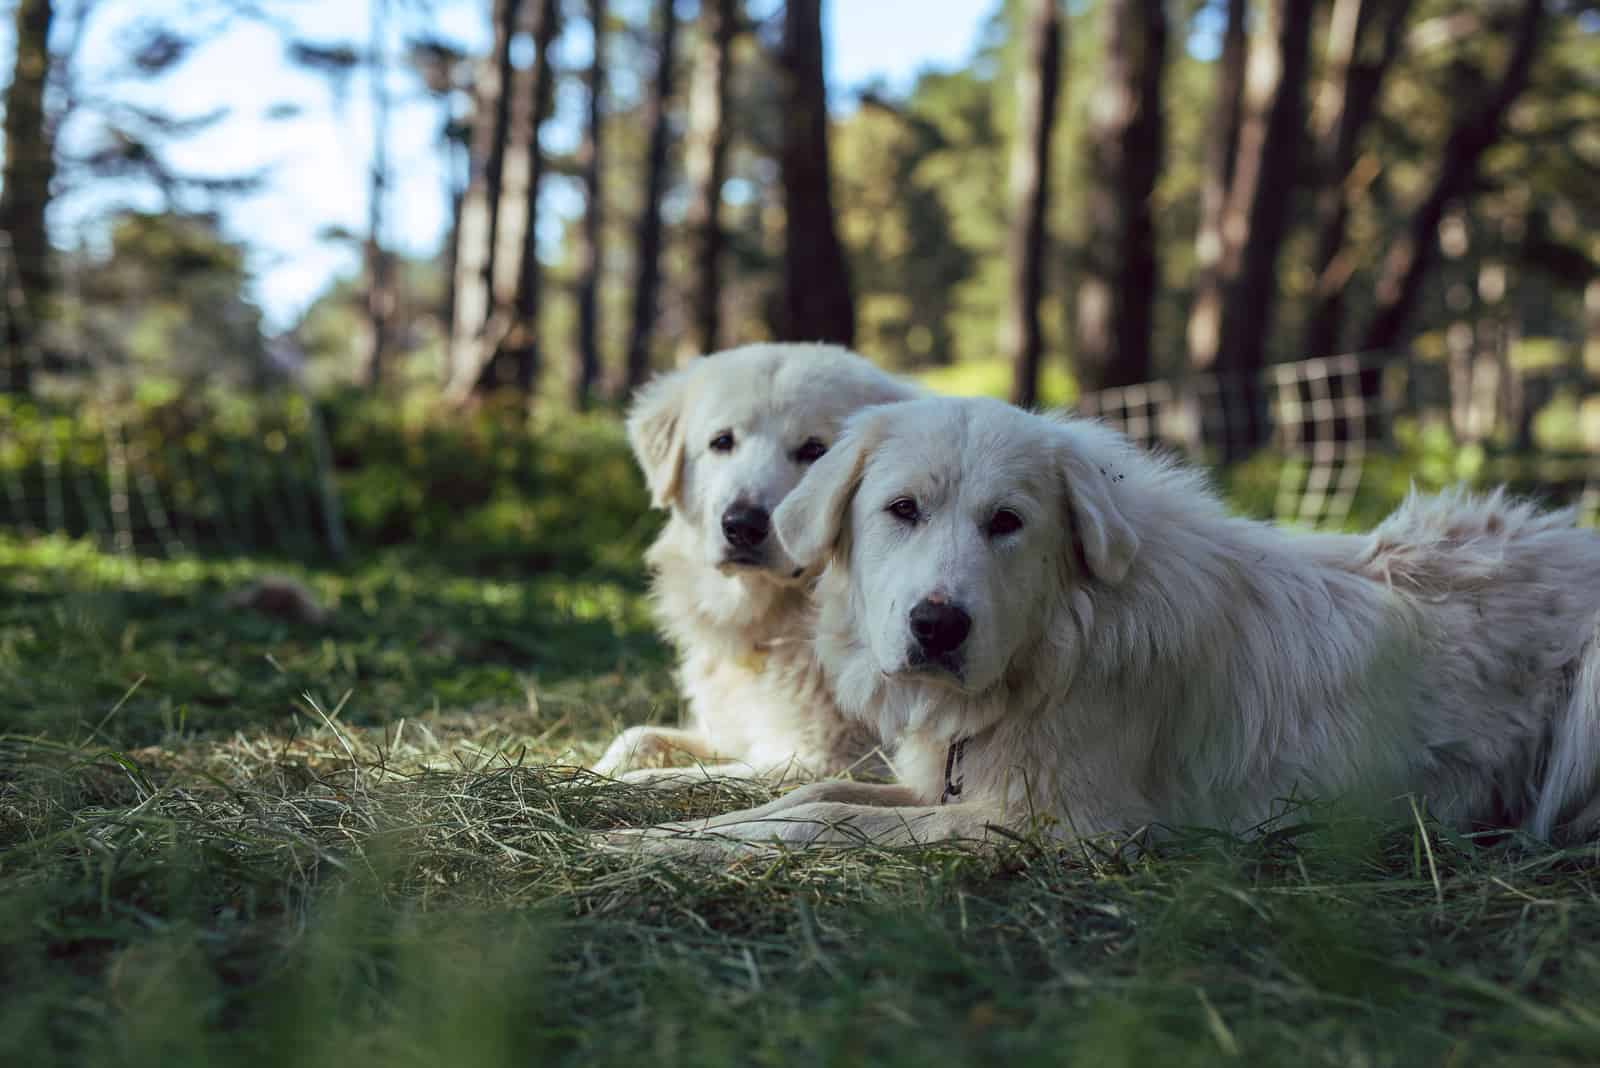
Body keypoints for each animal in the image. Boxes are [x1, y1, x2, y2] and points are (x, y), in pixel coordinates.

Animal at [592, 342, 921, 783]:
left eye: (813, 450)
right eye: (722, 442)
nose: (742, 524)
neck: (770, 623)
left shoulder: (819, 761)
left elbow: (676, 777)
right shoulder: (725, 736)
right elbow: (634, 736)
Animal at [617, 391, 1600, 850]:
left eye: (1007, 522)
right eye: (902, 510)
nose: (938, 627)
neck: (1059, 642)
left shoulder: (1058, 824)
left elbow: (819, 822)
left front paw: (648, 850)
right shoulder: (951, 787)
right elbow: (804, 798)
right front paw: (653, 837)